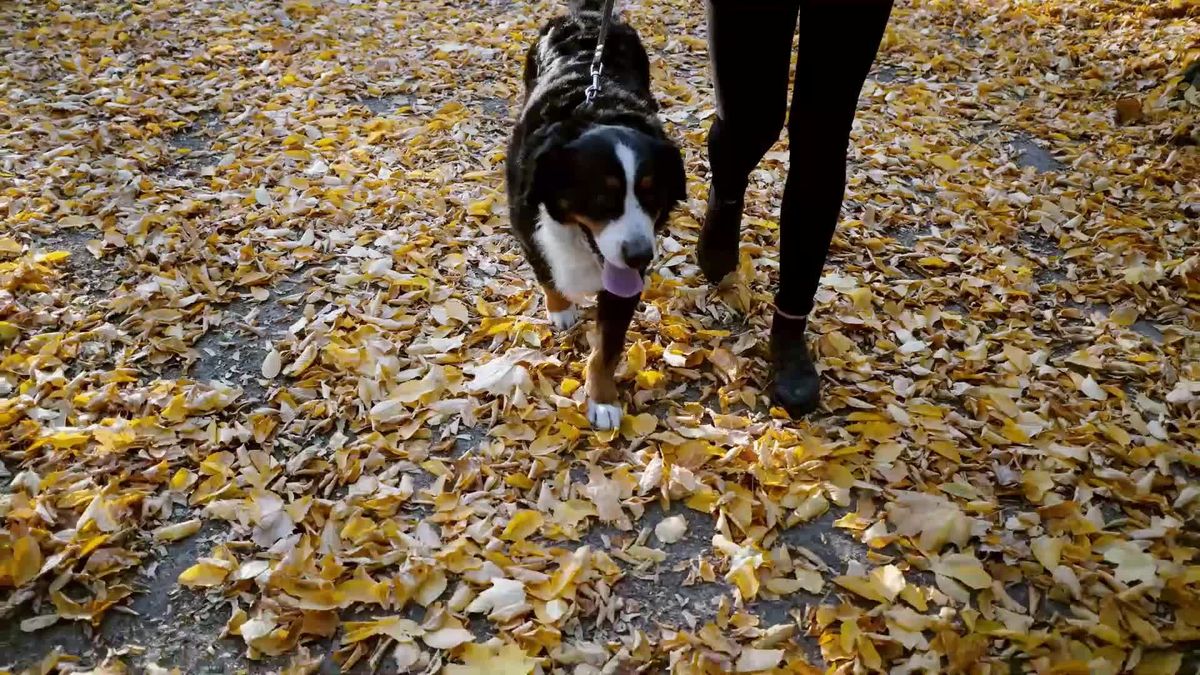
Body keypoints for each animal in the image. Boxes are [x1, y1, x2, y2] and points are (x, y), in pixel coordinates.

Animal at [501, 0, 686, 427]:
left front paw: (602, 400)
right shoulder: (527, 229)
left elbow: (607, 349)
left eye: (652, 195)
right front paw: (561, 309)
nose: (640, 255)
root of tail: (587, 16)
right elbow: (547, 274)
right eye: (603, 198)